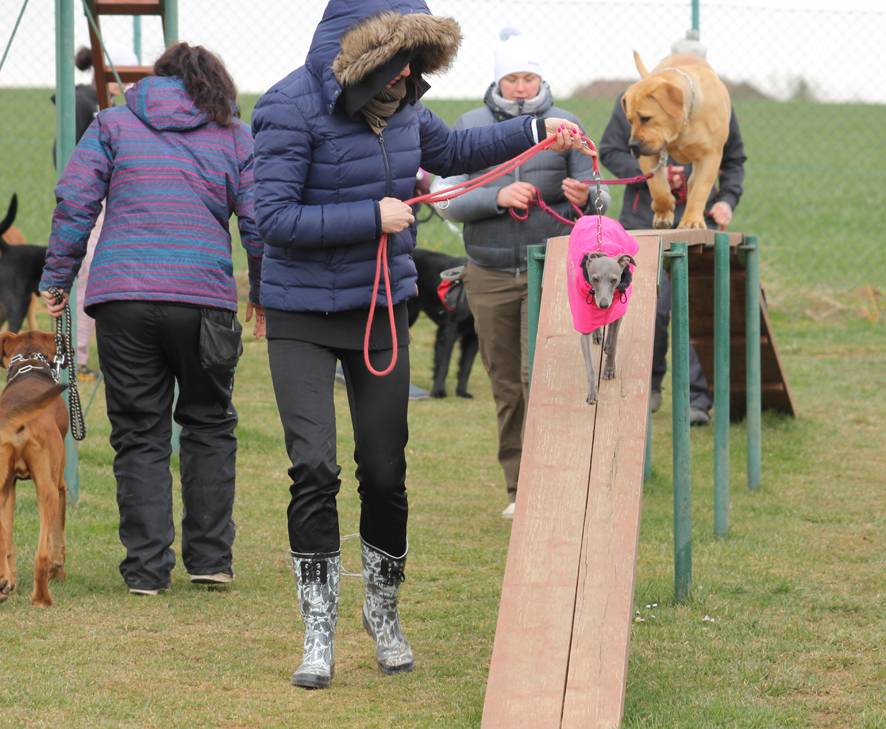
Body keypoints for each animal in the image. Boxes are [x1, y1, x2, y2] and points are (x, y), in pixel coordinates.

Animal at [0, 330, 69, 604]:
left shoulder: (9, 487)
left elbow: (8, 541)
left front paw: (10, 581)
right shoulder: (60, 486)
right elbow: (58, 536)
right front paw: (58, 572)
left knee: (4, 542)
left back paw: (4, 584)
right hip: (48, 492)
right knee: (42, 555)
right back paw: (42, 599)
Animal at [408, 249, 478, 398]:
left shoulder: (474, 336)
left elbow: (466, 367)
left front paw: (462, 392)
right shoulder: (449, 330)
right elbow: (443, 364)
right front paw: (438, 392)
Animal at [584, 253, 640, 404]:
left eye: (614, 280)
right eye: (595, 279)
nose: (604, 305)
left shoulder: (617, 311)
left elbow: (614, 344)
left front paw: (609, 368)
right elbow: (589, 365)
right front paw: (592, 391)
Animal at [620, 52, 732, 228]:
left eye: (645, 118)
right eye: (630, 120)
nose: (633, 145)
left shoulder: (711, 155)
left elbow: (700, 190)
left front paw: (692, 220)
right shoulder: (649, 156)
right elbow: (657, 188)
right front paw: (663, 211)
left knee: (693, 185)